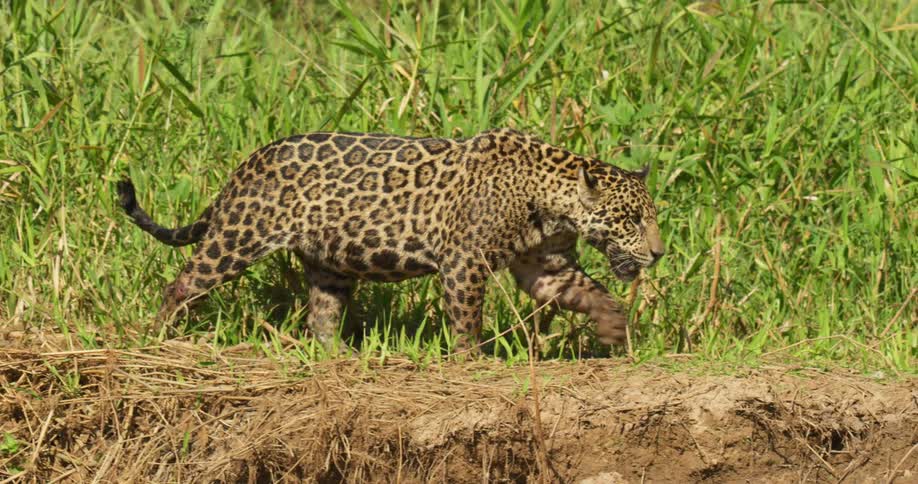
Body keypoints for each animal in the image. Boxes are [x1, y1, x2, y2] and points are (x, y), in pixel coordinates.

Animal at [116, 128, 665, 351]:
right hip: (239, 237)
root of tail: (249, 162)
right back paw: (152, 336)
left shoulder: (546, 266)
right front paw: (469, 359)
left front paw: (615, 330)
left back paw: (339, 356)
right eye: (632, 219)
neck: (552, 202)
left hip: (329, 263)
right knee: (182, 283)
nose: (659, 253)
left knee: (321, 313)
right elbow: (466, 318)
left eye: (647, 218)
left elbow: (593, 293)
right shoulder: (465, 261)